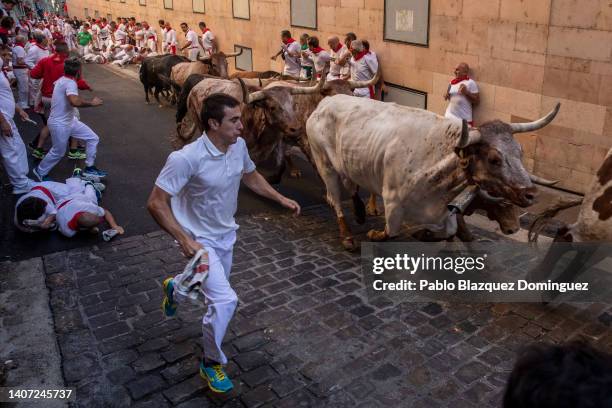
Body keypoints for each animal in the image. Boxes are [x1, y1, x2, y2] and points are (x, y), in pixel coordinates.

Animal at [308, 95, 560, 249]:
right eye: (493, 159)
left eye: (520, 151)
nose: (531, 194)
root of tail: (325, 102)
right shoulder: (392, 200)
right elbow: (391, 231)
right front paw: (374, 235)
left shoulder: (445, 209)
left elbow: (449, 231)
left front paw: (424, 235)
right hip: (324, 163)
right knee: (334, 198)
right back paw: (347, 236)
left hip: (349, 163)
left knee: (350, 186)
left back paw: (360, 212)